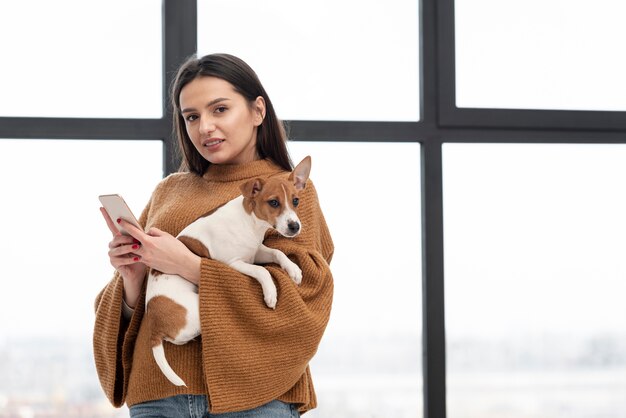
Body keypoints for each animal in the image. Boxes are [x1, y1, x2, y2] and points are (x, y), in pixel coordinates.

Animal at [146, 156, 312, 386]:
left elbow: (278, 252)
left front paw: (294, 269)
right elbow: (263, 272)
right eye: (274, 202)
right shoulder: (234, 263)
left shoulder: (256, 251)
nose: (295, 226)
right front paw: (270, 294)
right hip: (196, 309)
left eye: (295, 201)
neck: (250, 222)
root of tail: (153, 326)